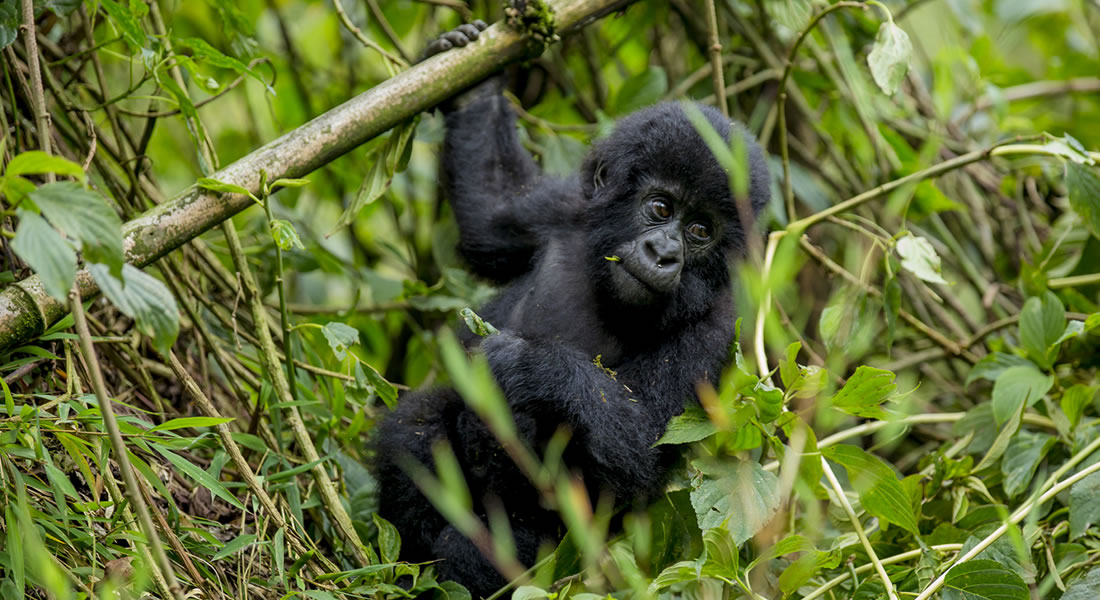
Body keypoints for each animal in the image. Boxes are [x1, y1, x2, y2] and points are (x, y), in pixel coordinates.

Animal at [374, 18, 770, 594]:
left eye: (701, 231)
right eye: (660, 207)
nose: (665, 253)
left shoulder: (718, 327)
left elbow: (640, 445)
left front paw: (524, 363)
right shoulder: (563, 207)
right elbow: (492, 215)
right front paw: (474, 87)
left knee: (496, 547)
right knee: (416, 430)